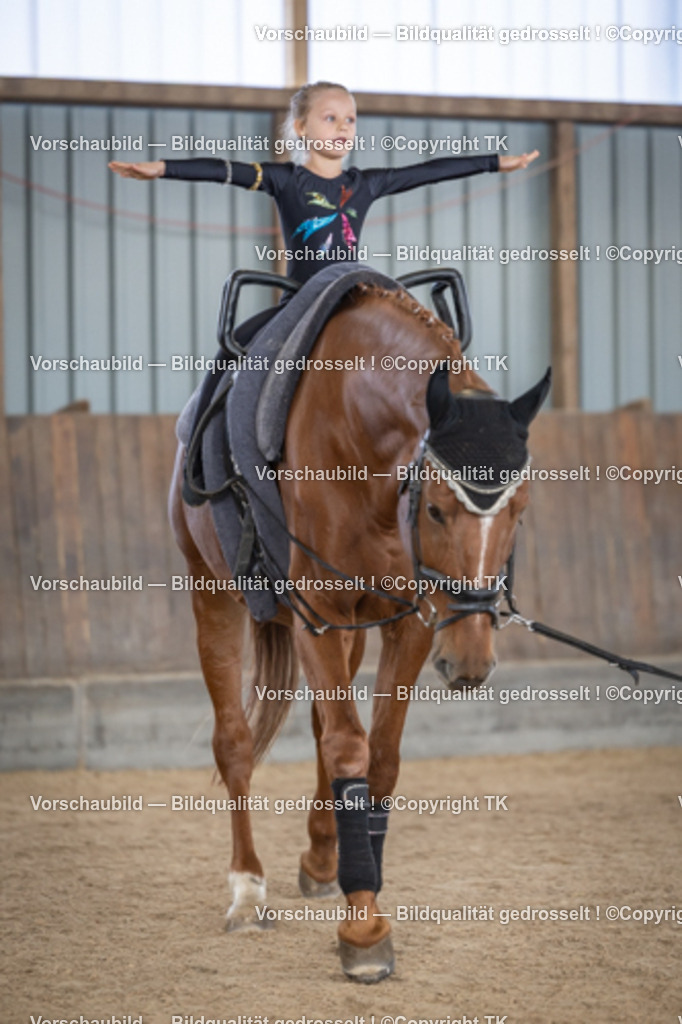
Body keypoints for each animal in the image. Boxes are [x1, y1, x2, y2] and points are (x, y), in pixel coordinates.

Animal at [169, 281, 550, 983]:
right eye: (436, 509)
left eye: (520, 509)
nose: (470, 663)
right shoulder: (318, 611)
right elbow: (349, 750)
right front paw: (365, 929)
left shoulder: (412, 621)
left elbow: (381, 757)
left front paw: (356, 882)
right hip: (214, 594)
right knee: (235, 743)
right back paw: (247, 891)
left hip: (354, 628)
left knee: (325, 722)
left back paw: (322, 859)